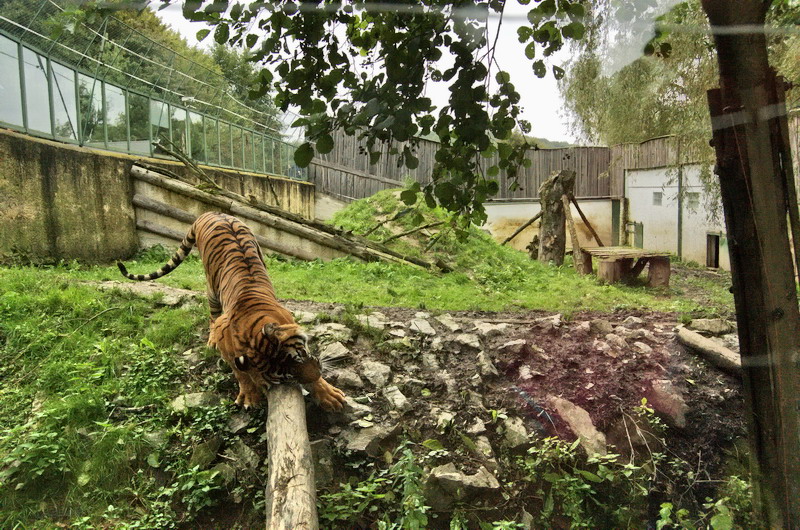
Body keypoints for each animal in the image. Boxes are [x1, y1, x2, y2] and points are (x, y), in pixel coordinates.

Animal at [117, 211, 346, 411]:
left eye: (300, 357)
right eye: (287, 376)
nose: (317, 373)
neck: (253, 330)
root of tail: (210, 212)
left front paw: (328, 394)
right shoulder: (226, 343)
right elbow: (240, 372)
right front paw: (249, 395)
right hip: (212, 287)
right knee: (212, 315)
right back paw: (210, 341)